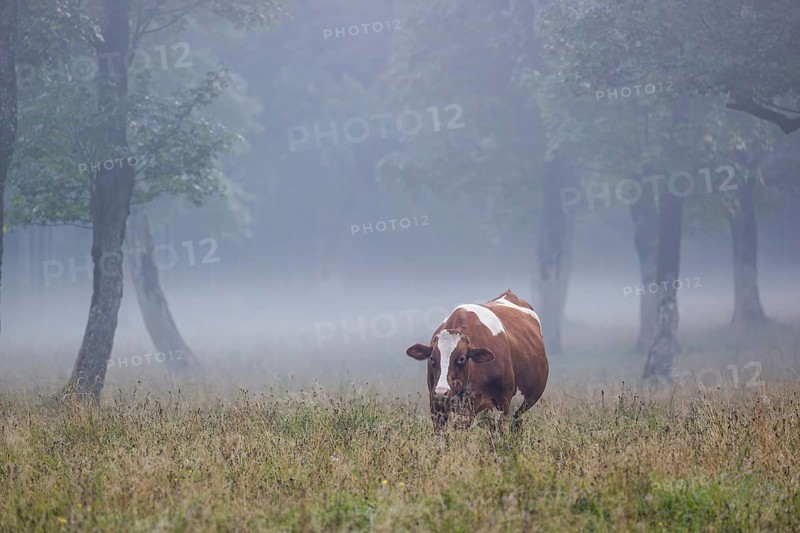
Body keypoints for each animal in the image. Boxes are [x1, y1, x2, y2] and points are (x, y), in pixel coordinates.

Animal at [405, 290, 548, 430]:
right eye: (432, 358)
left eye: (462, 358)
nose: (441, 392)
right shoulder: (437, 406)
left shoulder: (502, 404)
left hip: (518, 410)